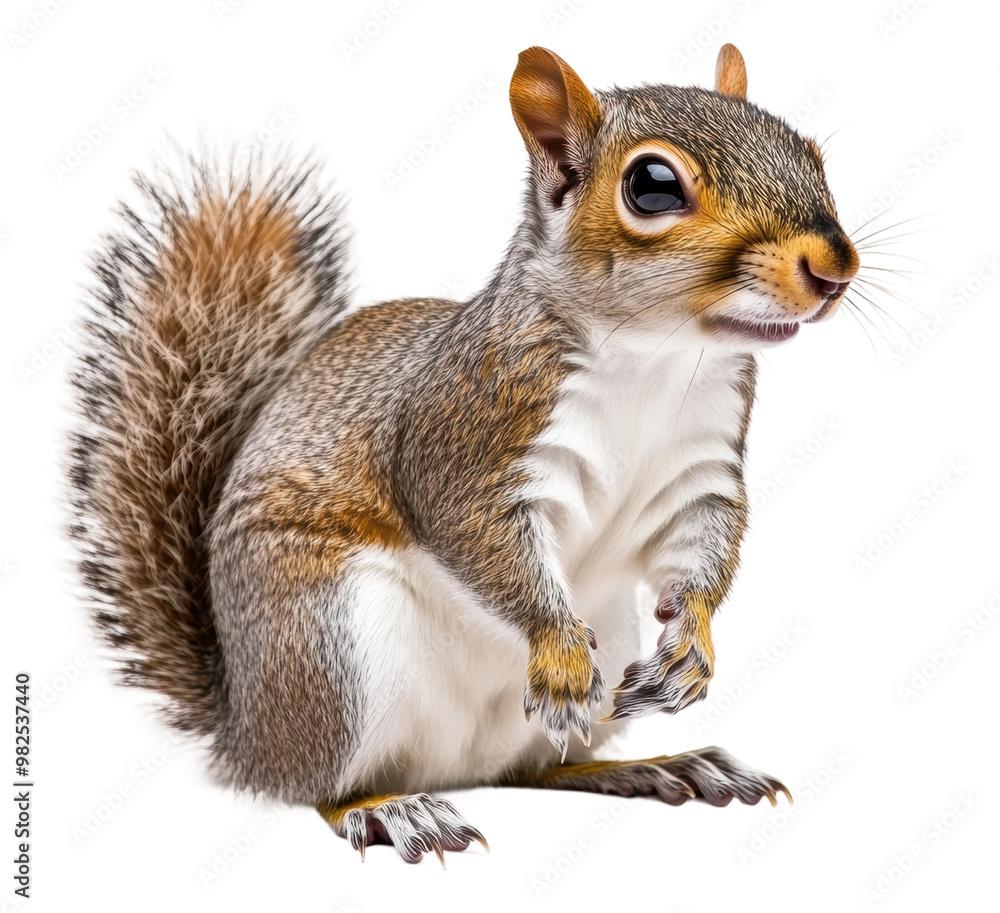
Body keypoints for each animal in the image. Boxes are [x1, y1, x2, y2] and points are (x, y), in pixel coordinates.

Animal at [68, 44, 859, 864]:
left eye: (813, 154)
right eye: (652, 185)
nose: (834, 267)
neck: (658, 358)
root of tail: (243, 733)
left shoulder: (700, 469)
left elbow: (703, 546)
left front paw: (692, 649)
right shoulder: (460, 434)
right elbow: (476, 536)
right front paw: (559, 652)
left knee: (536, 768)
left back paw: (657, 765)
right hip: (334, 647)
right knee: (317, 785)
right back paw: (390, 809)